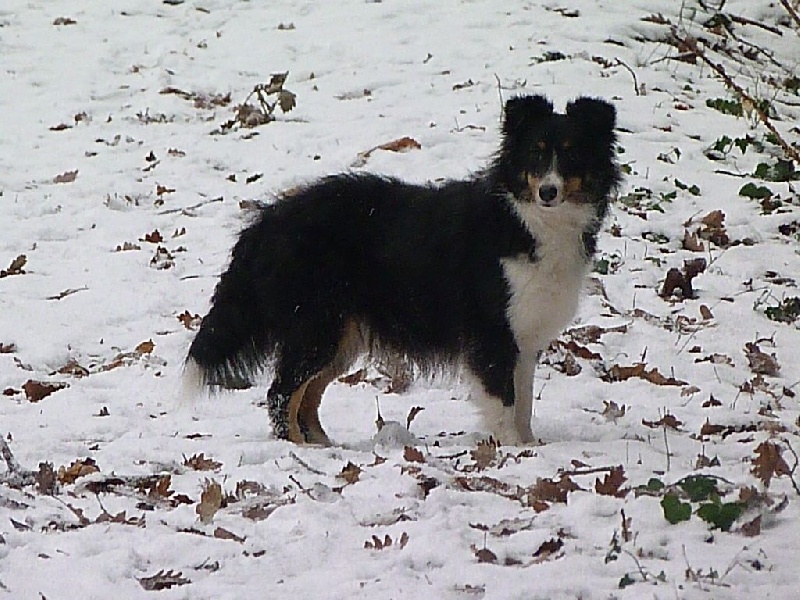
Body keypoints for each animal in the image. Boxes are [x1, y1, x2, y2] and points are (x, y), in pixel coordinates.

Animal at [184, 96, 620, 446]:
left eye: (572, 155)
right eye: (535, 153)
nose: (548, 191)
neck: (526, 220)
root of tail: (268, 220)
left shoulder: (525, 336)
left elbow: (524, 402)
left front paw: (530, 445)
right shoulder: (492, 331)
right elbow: (504, 401)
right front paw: (515, 450)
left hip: (340, 334)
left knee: (306, 396)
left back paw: (325, 446)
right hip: (316, 326)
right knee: (281, 394)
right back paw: (301, 450)